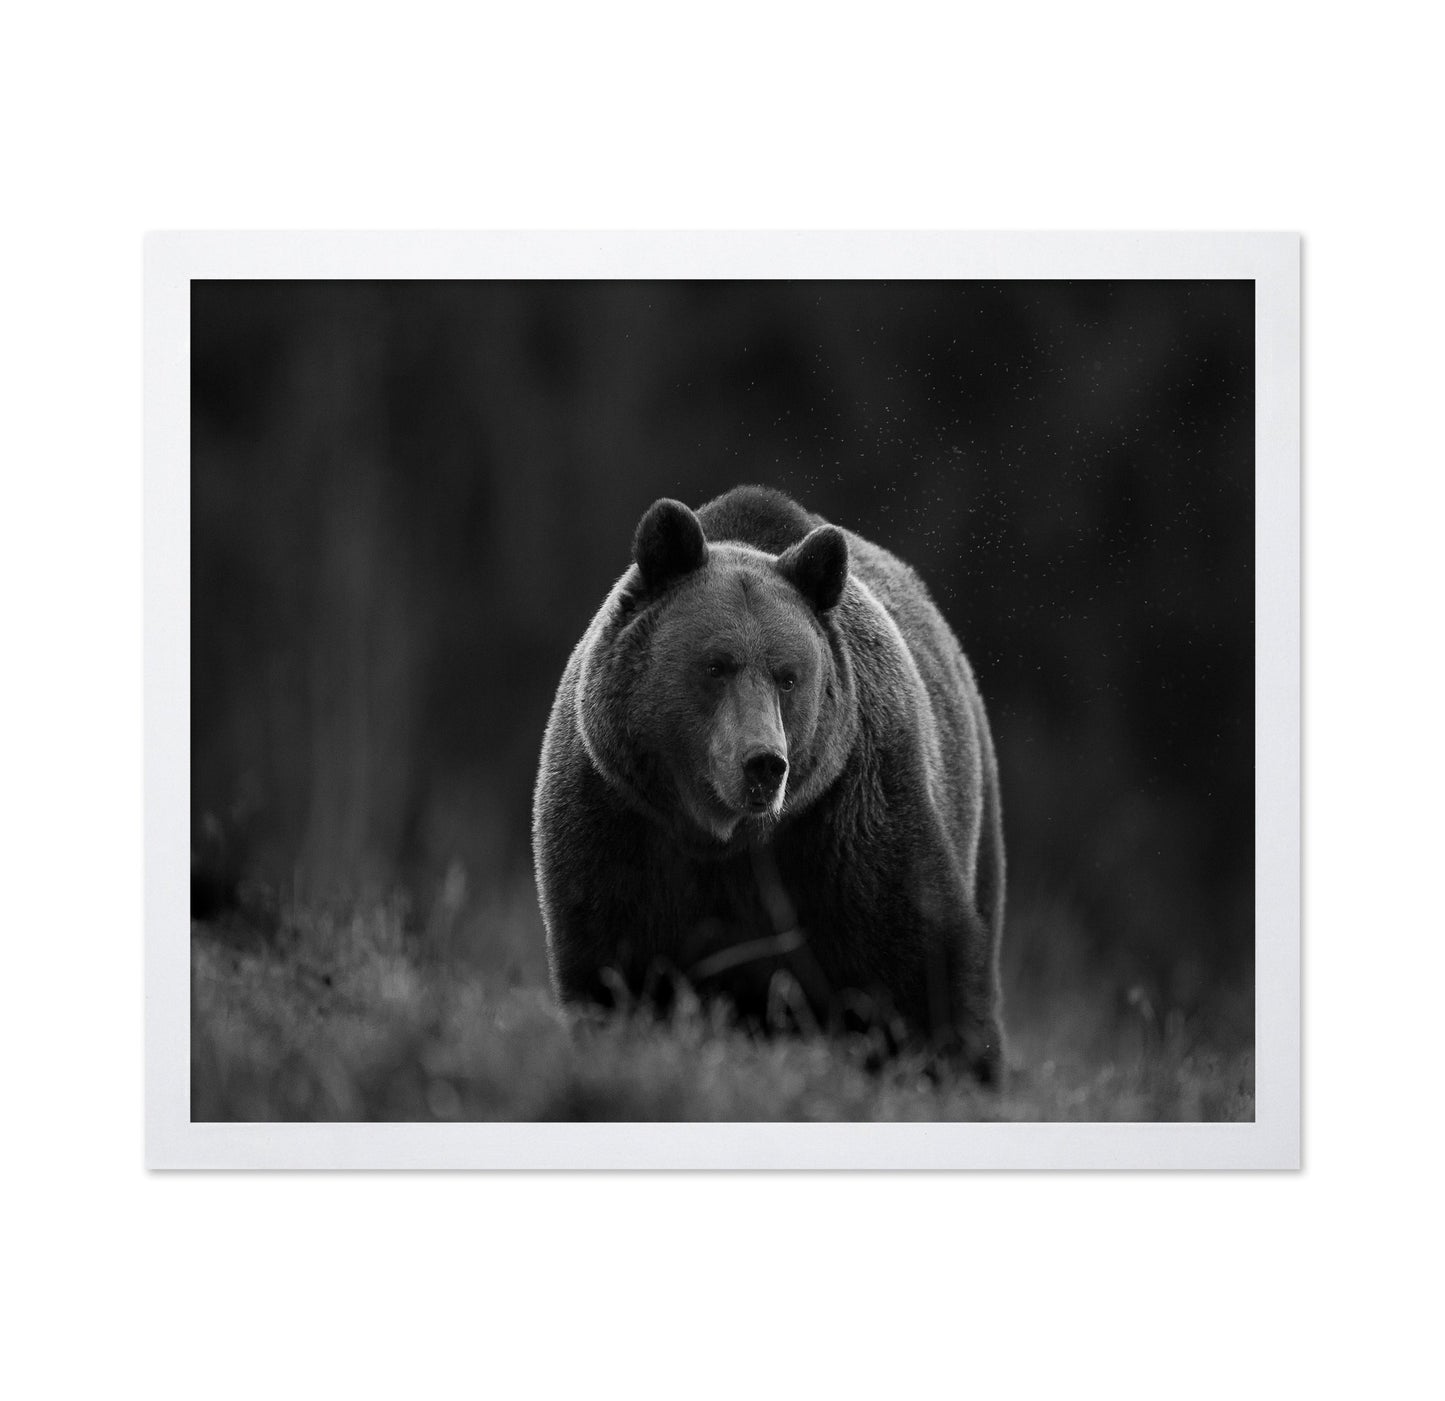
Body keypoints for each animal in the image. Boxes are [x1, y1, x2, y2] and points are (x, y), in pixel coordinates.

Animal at [532, 484, 1005, 1083]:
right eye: (716, 665)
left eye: (788, 676)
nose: (764, 763)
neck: (725, 838)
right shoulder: (618, 822)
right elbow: (615, 974)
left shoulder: (850, 820)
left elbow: (918, 964)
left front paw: (955, 1066)